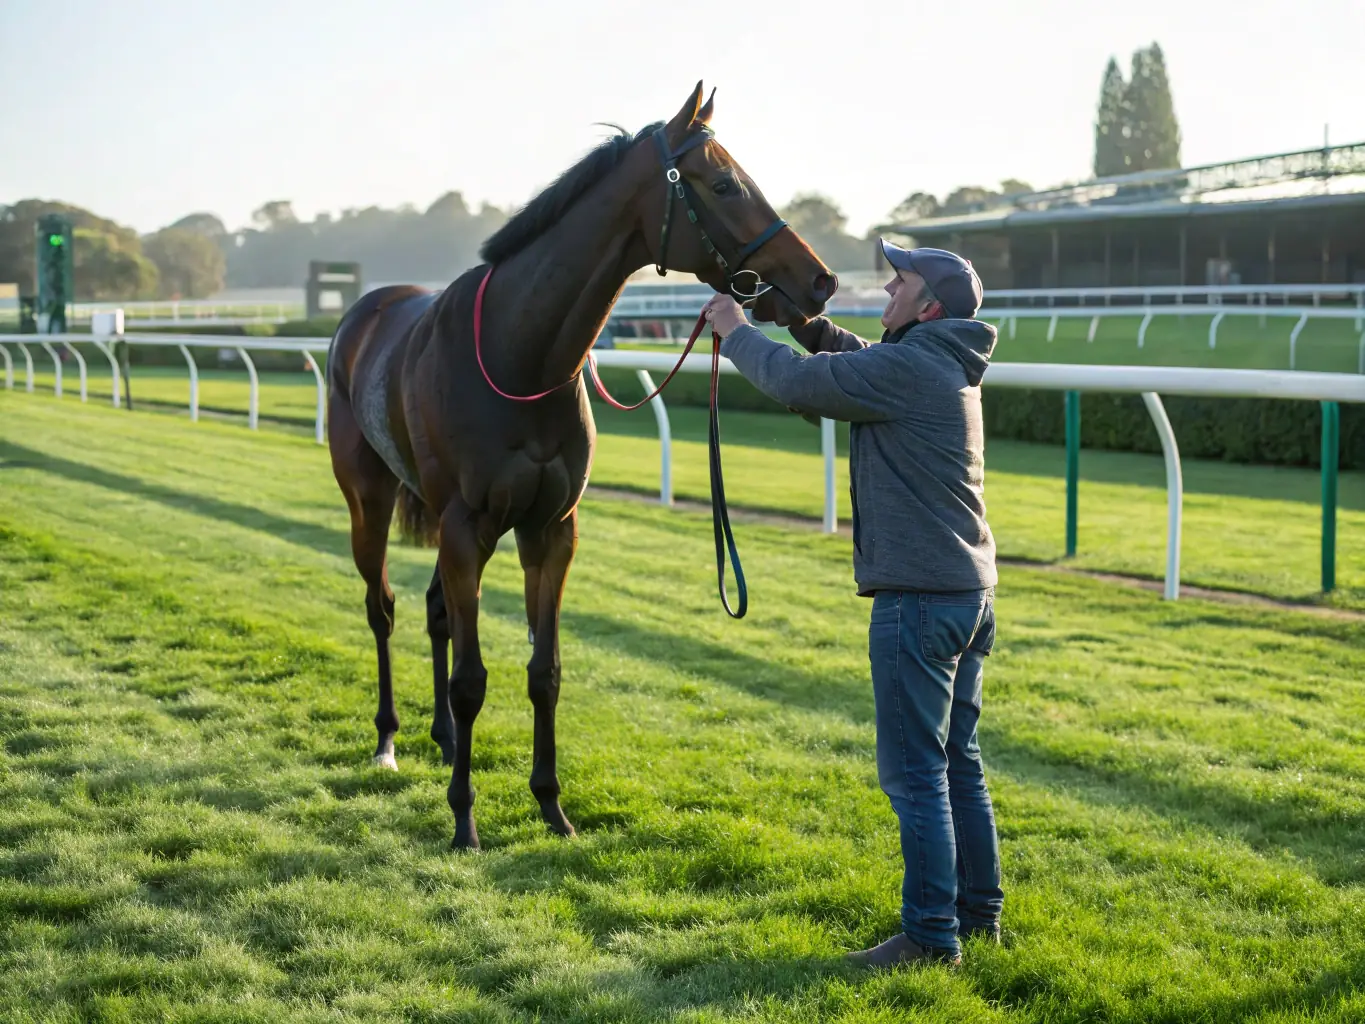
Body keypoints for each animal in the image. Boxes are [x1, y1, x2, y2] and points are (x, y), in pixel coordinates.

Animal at [326, 82, 837, 850]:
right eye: (723, 183)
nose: (819, 281)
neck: (520, 358)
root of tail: (366, 310)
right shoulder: (469, 527)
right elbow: (473, 680)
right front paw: (464, 821)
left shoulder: (551, 528)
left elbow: (545, 671)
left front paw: (550, 805)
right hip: (370, 496)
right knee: (382, 607)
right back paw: (388, 740)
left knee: (436, 612)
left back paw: (442, 738)